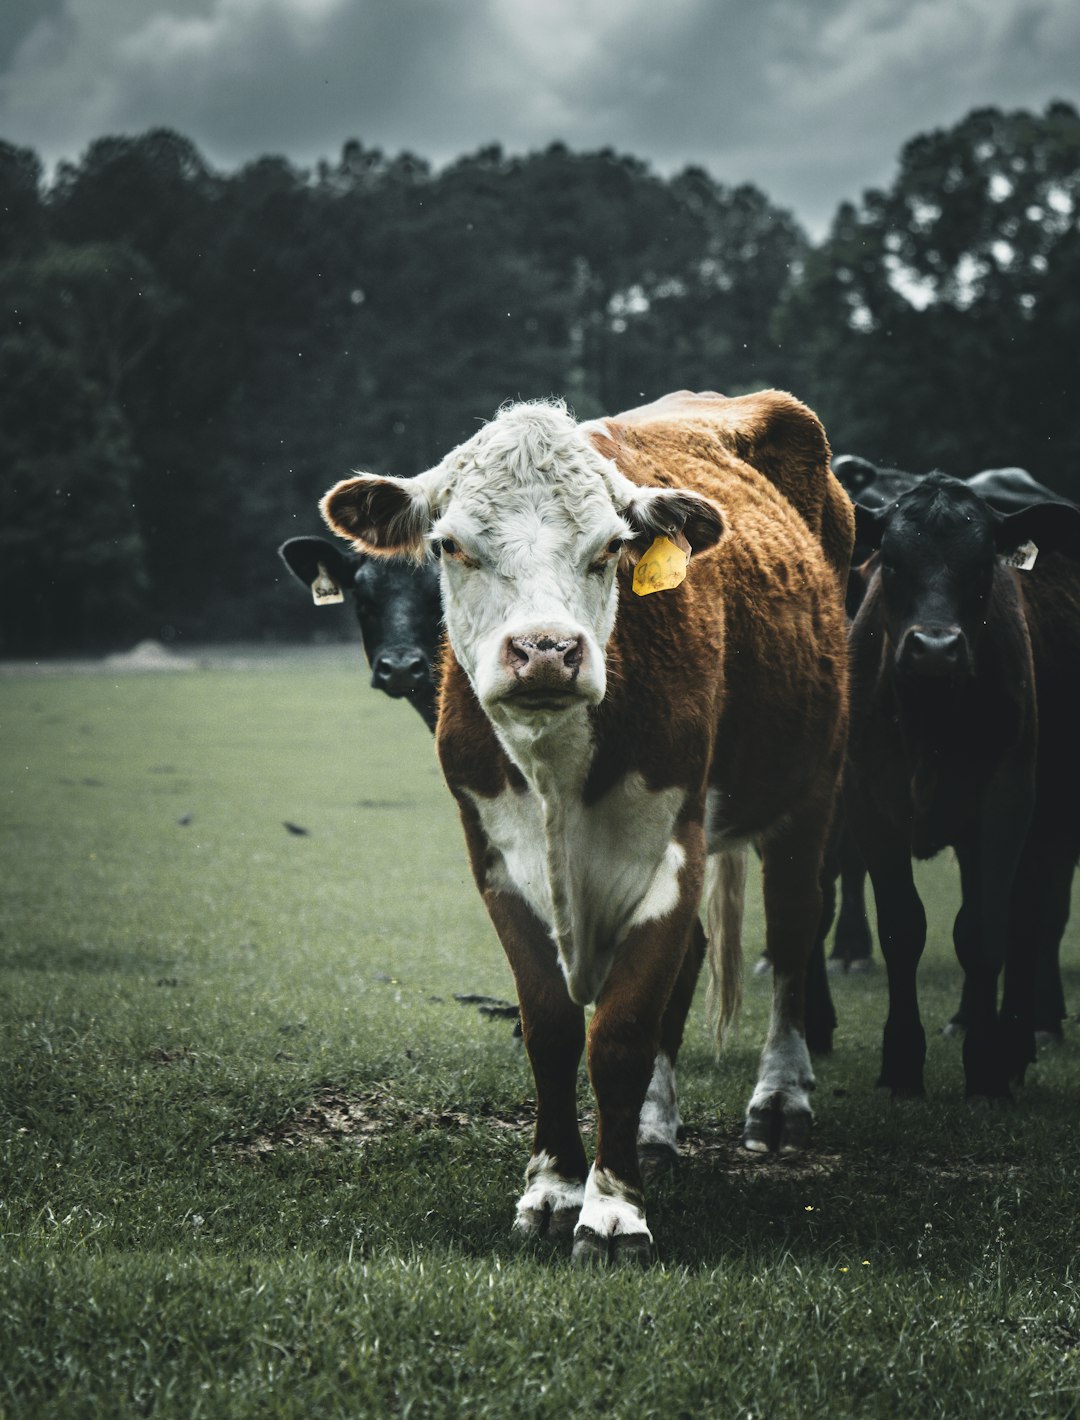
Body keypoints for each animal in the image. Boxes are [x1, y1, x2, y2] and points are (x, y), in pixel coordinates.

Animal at [319, 390, 853, 1265]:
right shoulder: (496, 858)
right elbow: (553, 1028)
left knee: (794, 933)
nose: (545, 651)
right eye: (451, 545)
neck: (556, 770)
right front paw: (553, 1186)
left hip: (811, 789)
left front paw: (611, 1210)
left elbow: (623, 1031)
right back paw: (655, 1130)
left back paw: (779, 1099)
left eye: (611, 548)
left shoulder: (674, 846)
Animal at [846, 473, 1080, 1098]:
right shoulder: (870, 806)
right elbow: (903, 929)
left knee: (1030, 921)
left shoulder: (1007, 803)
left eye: (981, 566)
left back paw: (1018, 1040)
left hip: (1050, 823)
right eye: (892, 561)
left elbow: (982, 931)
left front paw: (986, 1067)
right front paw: (902, 1064)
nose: (934, 649)